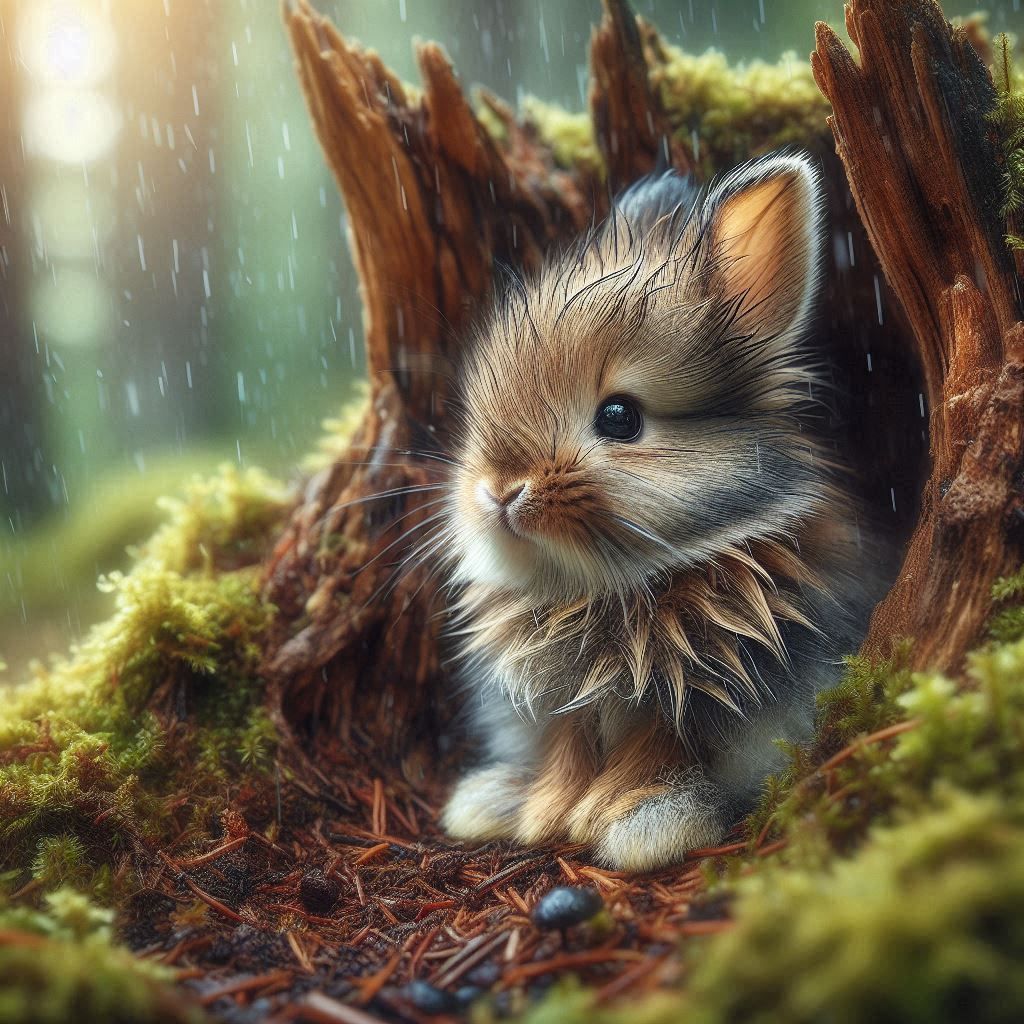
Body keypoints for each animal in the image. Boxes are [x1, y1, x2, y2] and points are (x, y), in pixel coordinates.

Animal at [438, 151, 885, 871]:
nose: (500, 491)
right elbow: (567, 755)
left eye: (620, 418)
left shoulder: (692, 698)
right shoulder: (562, 707)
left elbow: (652, 756)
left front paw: (630, 823)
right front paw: (540, 814)